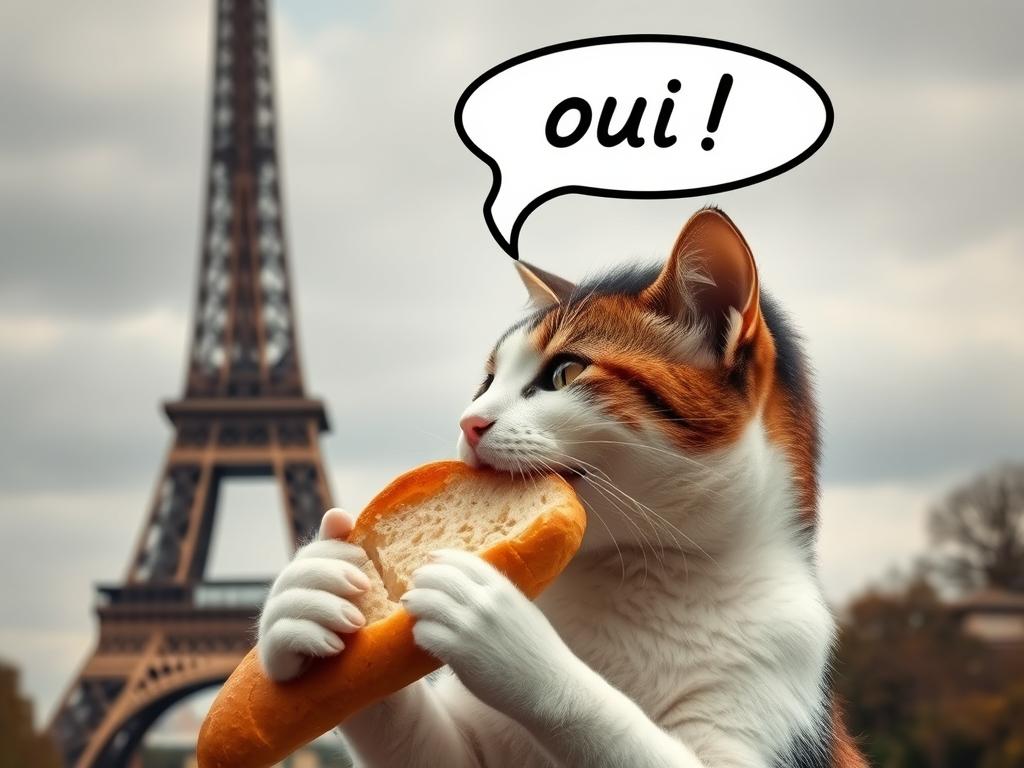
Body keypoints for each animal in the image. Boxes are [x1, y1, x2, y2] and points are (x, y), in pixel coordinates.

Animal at [260, 207, 868, 765]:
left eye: (565, 373)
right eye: (487, 381)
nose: (468, 421)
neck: (631, 571)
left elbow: (604, 716)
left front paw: (508, 633)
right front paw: (304, 593)